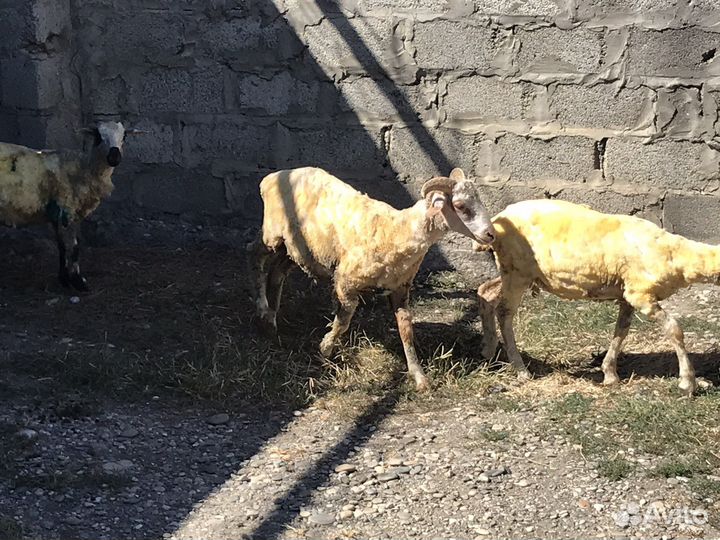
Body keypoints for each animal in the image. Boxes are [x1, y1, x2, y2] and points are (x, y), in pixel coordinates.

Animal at [0, 121, 137, 291]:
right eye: (98, 136)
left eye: (124, 136)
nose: (114, 157)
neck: (84, 168)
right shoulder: (65, 208)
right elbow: (70, 246)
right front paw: (77, 280)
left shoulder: (64, 213)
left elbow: (67, 246)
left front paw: (67, 279)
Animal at [248, 166, 496, 391]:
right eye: (461, 206)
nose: (490, 235)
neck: (397, 231)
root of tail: (272, 177)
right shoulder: (346, 282)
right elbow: (343, 321)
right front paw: (326, 347)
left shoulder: (400, 288)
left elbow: (406, 329)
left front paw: (419, 376)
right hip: (273, 234)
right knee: (255, 256)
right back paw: (262, 309)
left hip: (298, 251)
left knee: (277, 273)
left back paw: (271, 319)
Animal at [474, 198, 720, 395]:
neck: (677, 255)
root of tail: (497, 219)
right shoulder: (640, 294)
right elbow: (674, 330)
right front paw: (688, 383)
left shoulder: (626, 295)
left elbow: (621, 331)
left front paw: (610, 374)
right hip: (517, 271)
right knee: (504, 312)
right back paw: (520, 368)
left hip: (515, 272)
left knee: (486, 292)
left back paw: (488, 349)